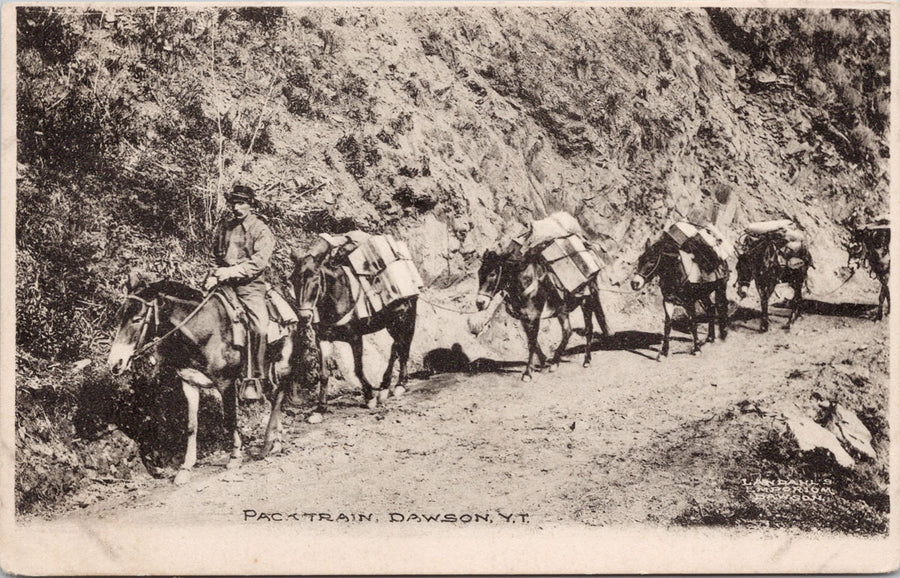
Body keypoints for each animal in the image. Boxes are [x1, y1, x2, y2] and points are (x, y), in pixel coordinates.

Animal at [107, 274, 294, 482]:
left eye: (137, 319)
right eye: (120, 317)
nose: (115, 363)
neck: (204, 331)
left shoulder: (226, 383)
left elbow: (230, 419)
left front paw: (235, 458)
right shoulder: (189, 383)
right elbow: (191, 426)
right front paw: (185, 468)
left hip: (281, 364)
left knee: (279, 396)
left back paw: (269, 444)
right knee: (274, 397)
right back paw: (275, 442)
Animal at [290, 243, 416, 418]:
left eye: (316, 280)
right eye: (293, 280)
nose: (304, 317)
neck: (339, 298)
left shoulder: (355, 338)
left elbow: (358, 368)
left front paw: (370, 397)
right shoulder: (323, 339)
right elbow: (324, 374)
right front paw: (320, 409)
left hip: (404, 318)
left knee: (402, 346)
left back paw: (396, 386)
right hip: (392, 324)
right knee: (397, 347)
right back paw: (388, 385)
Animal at [472, 246, 612, 378]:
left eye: (492, 274)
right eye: (479, 273)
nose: (480, 303)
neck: (525, 282)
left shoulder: (535, 317)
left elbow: (532, 343)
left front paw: (527, 373)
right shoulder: (524, 318)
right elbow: (533, 342)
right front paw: (543, 362)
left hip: (587, 302)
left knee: (588, 329)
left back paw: (586, 361)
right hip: (562, 309)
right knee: (567, 331)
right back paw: (555, 362)